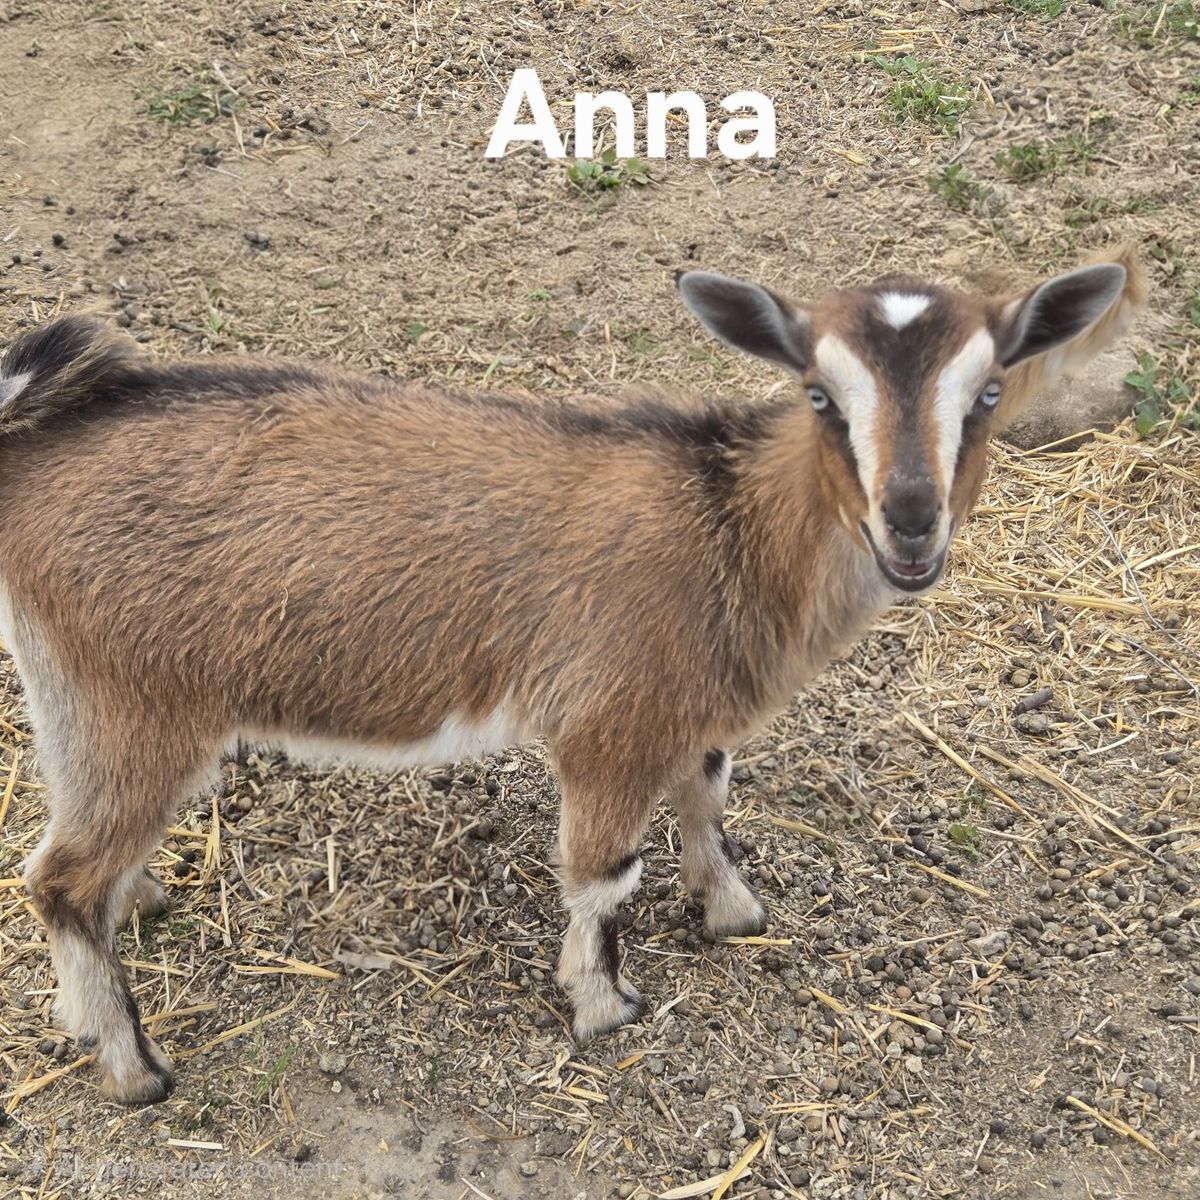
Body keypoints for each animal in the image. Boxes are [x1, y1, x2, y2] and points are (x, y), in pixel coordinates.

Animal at [0, 246, 1144, 1102]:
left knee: (80, 862)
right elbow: (604, 874)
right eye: (819, 395)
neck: (725, 528)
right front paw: (604, 1006)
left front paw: (731, 910)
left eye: (988, 392)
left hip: (79, 705)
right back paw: (133, 1068)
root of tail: (33, 460)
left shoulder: (689, 711)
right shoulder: (610, 722)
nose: (910, 521)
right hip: (131, 703)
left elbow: (707, 796)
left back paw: (119, 945)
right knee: (58, 879)